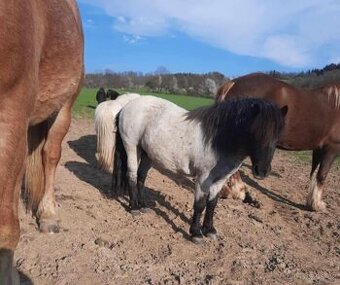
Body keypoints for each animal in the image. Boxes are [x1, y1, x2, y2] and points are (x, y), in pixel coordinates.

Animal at [108, 95, 286, 242]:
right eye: (255, 132)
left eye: (278, 136)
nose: (262, 171)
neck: (218, 140)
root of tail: (126, 106)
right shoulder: (202, 179)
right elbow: (200, 205)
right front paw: (196, 233)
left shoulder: (219, 181)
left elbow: (212, 204)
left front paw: (210, 230)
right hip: (132, 148)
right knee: (131, 175)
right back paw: (134, 207)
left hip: (147, 154)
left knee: (141, 177)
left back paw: (143, 205)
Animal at [216, 72, 338, 211]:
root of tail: (233, 83)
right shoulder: (332, 148)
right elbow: (322, 175)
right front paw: (317, 205)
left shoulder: (318, 148)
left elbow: (314, 173)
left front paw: (310, 202)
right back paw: (238, 191)